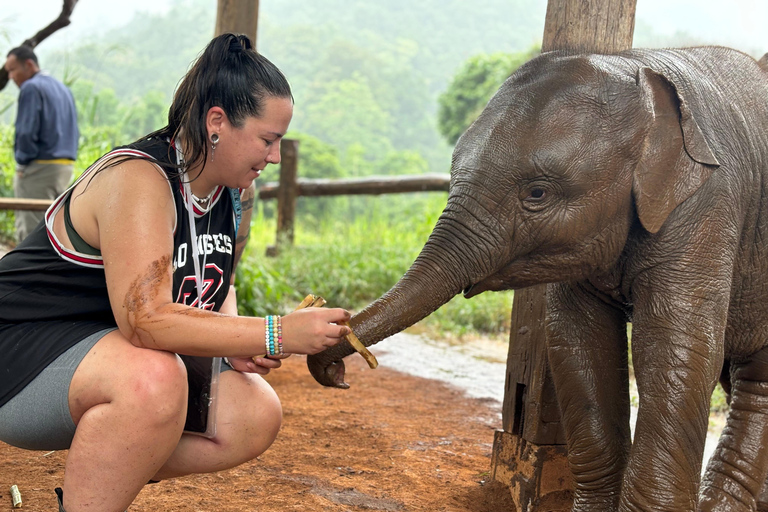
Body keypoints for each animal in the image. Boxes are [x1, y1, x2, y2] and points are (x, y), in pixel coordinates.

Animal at [308, 46, 768, 510]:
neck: (639, 71)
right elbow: (578, 341)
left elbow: (675, 348)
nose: (339, 375)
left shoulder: (708, 204)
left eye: (537, 193)